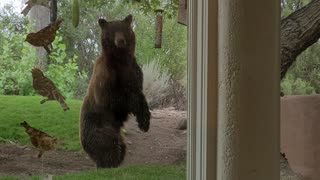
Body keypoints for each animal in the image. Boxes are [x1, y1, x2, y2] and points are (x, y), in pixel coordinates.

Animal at [79, 14, 151, 168]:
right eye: (112, 32)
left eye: (123, 30)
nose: (121, 41)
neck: (120, 59)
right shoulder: (106, 75)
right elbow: (112, 97)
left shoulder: (132, 71)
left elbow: (139, 93)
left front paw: (144, 122)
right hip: (100, 130)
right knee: (109, 149)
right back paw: (107, 164)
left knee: (121, 149)